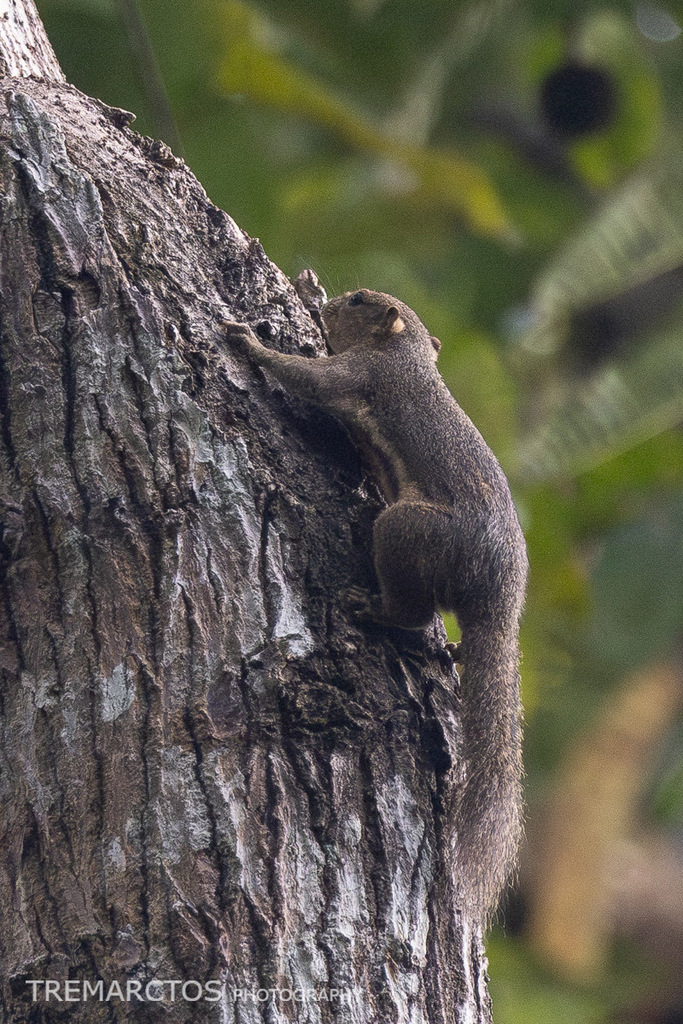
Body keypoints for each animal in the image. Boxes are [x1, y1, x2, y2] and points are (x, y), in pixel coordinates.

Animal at [224, 288, 528, 923]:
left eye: (362, 301)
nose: (328, 302)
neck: (407, 353)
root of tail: (499, 595)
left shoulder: (362, 374)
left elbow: (308, 378)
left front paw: (248, 342)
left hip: (408, 531)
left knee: (413, 611)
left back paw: (374, 609)